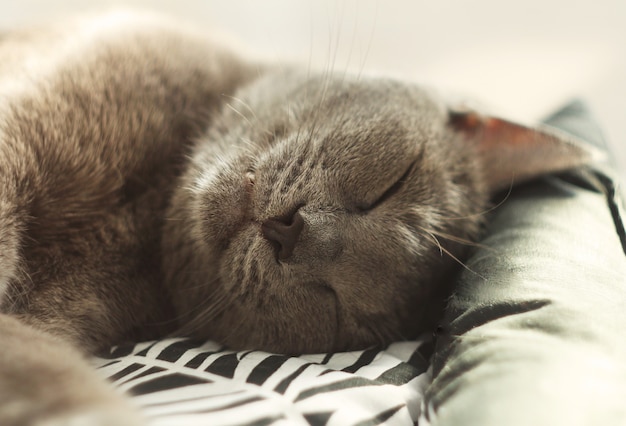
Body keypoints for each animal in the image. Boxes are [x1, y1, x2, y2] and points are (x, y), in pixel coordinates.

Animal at [0, 10, 596, 426]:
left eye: (338, 306)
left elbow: (48, 374)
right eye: (391, 184)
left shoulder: (51, 326)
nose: (293, 233)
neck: (138, 217)